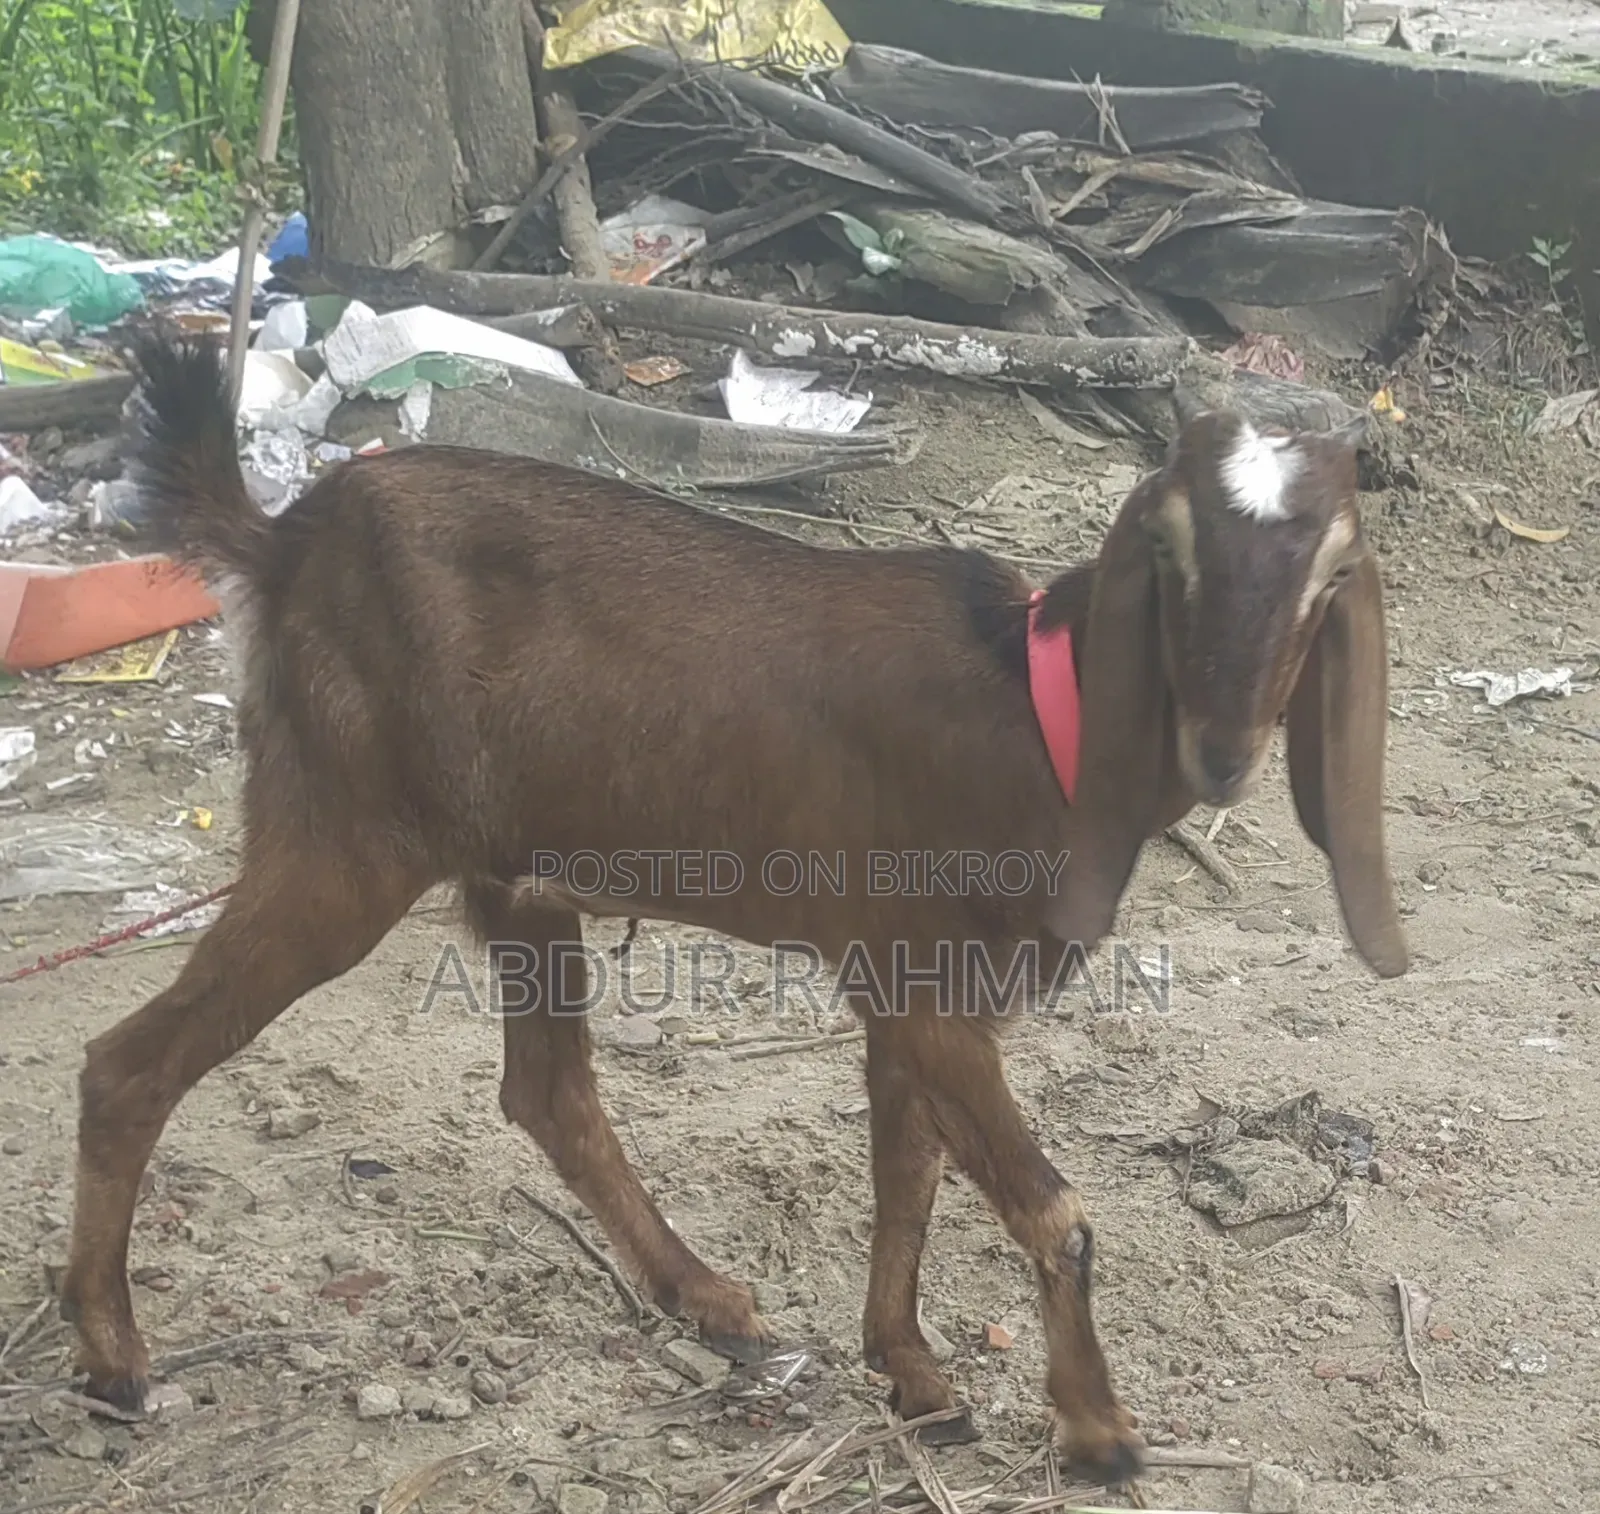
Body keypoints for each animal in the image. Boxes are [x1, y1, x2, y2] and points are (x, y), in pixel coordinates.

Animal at [60, 331, 1407, 1484]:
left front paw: (914, 1374)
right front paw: (1100, 1433)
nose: (1223, 753)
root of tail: (283, 541)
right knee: (128, 1062)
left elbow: (907, 1175)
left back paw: (708, 1299)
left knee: (547, 1091)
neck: (1035, 718)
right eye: (1171, 552)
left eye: (1331, 572)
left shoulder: (911, 985)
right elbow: (1050, 1205)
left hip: (514, 871)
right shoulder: (921, 979)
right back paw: (114, 1358)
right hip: (343, 835)